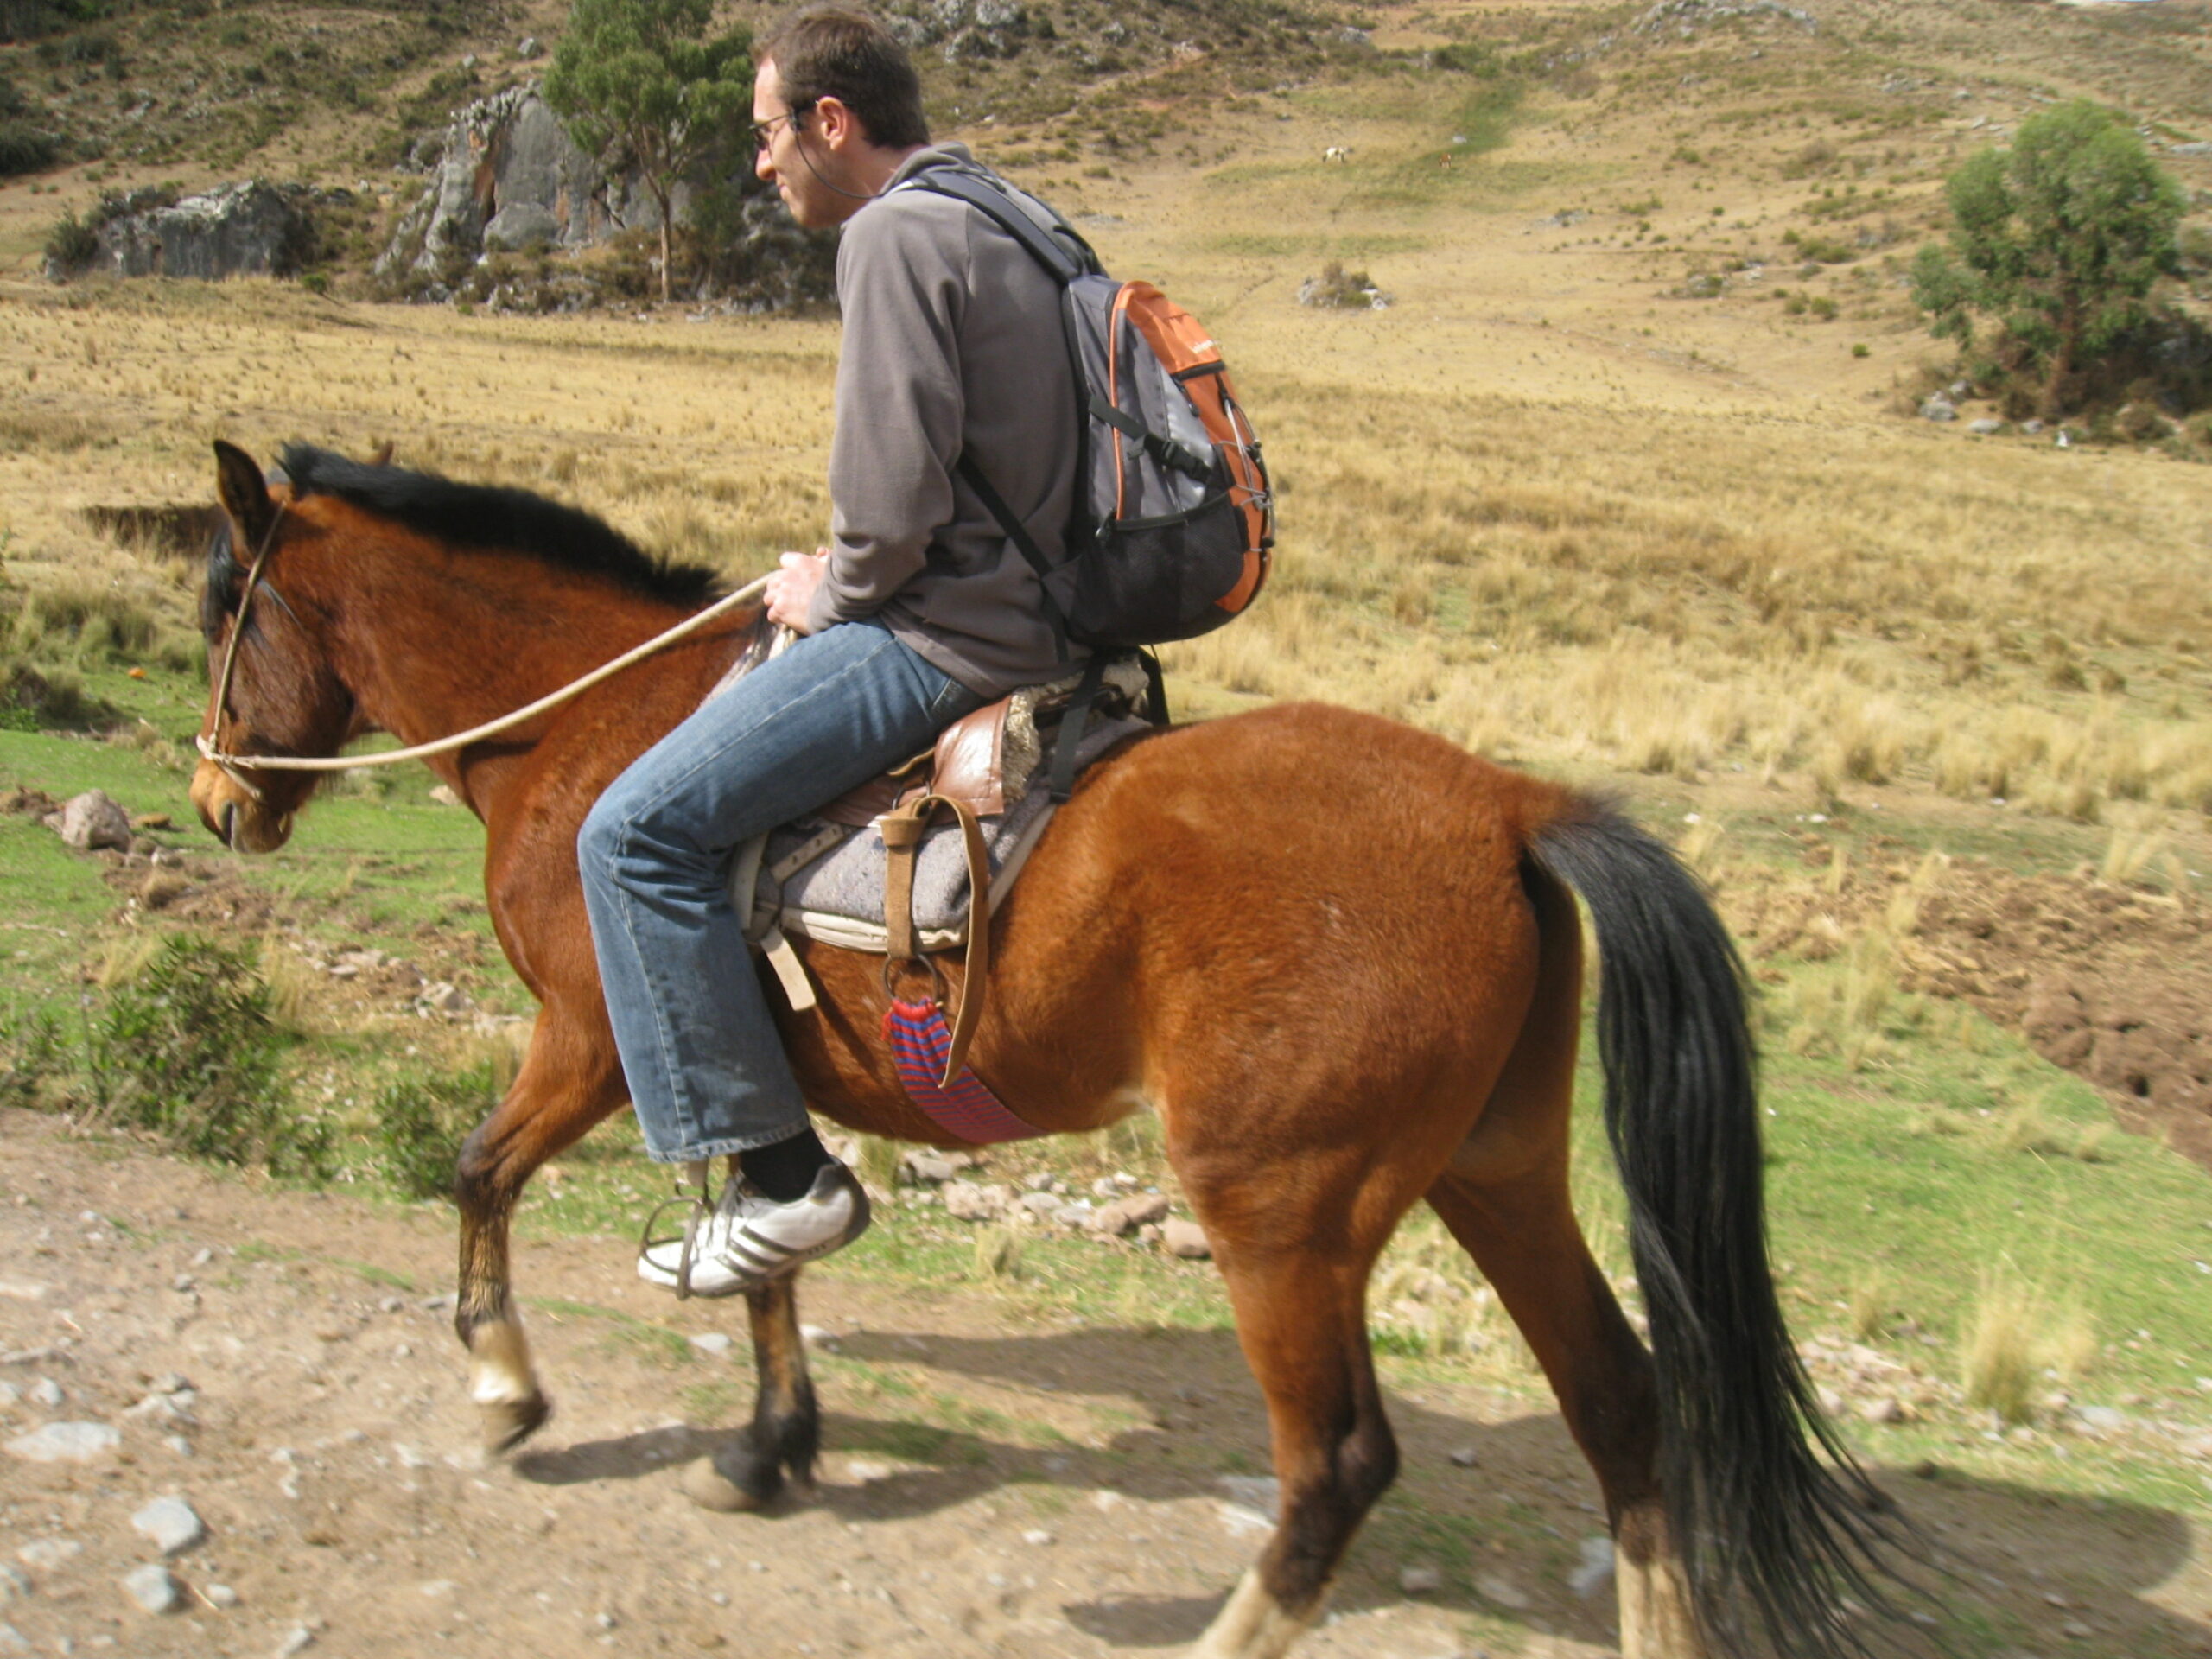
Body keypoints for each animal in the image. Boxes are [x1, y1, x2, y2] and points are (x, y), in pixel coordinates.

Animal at [187, 440, 1900, 1659]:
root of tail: (1508, 806)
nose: (215, 800)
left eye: (223, 612)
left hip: (1282, 1212)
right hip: (1500, 1170)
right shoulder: (753, 1067)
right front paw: (771, 1445)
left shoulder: (600, 1032)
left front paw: (503, 1386)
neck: (589, 733)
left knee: (1337, 1465)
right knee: (1621, 1404)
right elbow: (775, 1248)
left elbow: (481, 1175)